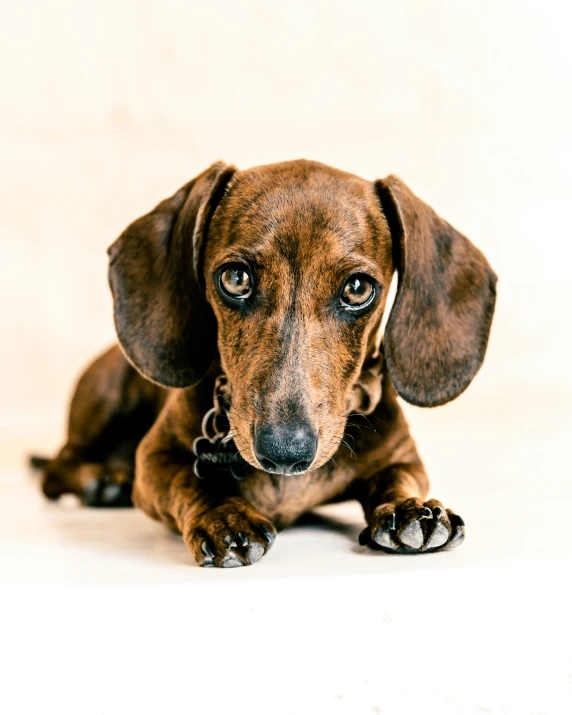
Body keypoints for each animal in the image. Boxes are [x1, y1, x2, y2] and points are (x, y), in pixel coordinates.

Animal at [35, 159, 498, 568]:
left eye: (357, 288)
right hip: (108, 397)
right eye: (236, 278)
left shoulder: (402, 458)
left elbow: (398, 479)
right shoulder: (153, 459)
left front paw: (410, 510)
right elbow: (190, 478)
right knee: (56, 469)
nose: (285, 452)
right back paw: (102, 483)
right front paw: (224, 514)